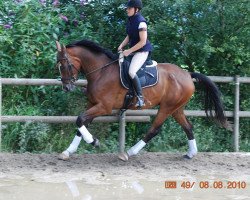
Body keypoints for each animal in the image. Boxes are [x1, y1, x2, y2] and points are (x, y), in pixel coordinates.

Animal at [55, 39, 231, 161]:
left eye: (65, 65)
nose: (66, 87)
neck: (101, 72)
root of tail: (187, 74)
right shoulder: (92, 104)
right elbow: (81, 124)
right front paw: (68, 152)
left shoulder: (103, 107)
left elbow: (79, 120)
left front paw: (94, 142)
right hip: (176, 108)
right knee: (188, 126)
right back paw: (191, 153)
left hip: (167, 107)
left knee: (154, 129)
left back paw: (128, 153)